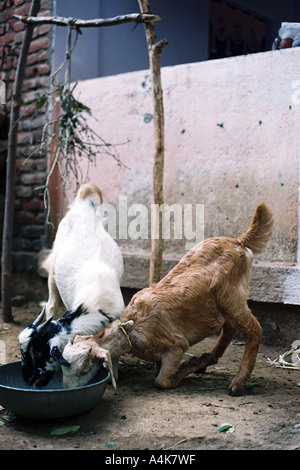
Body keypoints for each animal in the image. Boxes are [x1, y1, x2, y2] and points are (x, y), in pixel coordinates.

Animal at [62, 204, 274, 394]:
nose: (66, 388)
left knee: (254, 330)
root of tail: (239, 241)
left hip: (232, 295)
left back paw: (236, 384)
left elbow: (162, 380)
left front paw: (191, 363)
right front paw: (198, 362)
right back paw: (211, 359)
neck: (132, 329)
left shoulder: (177, 345)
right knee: (230, 327)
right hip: (226, 302)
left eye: (84, 368)